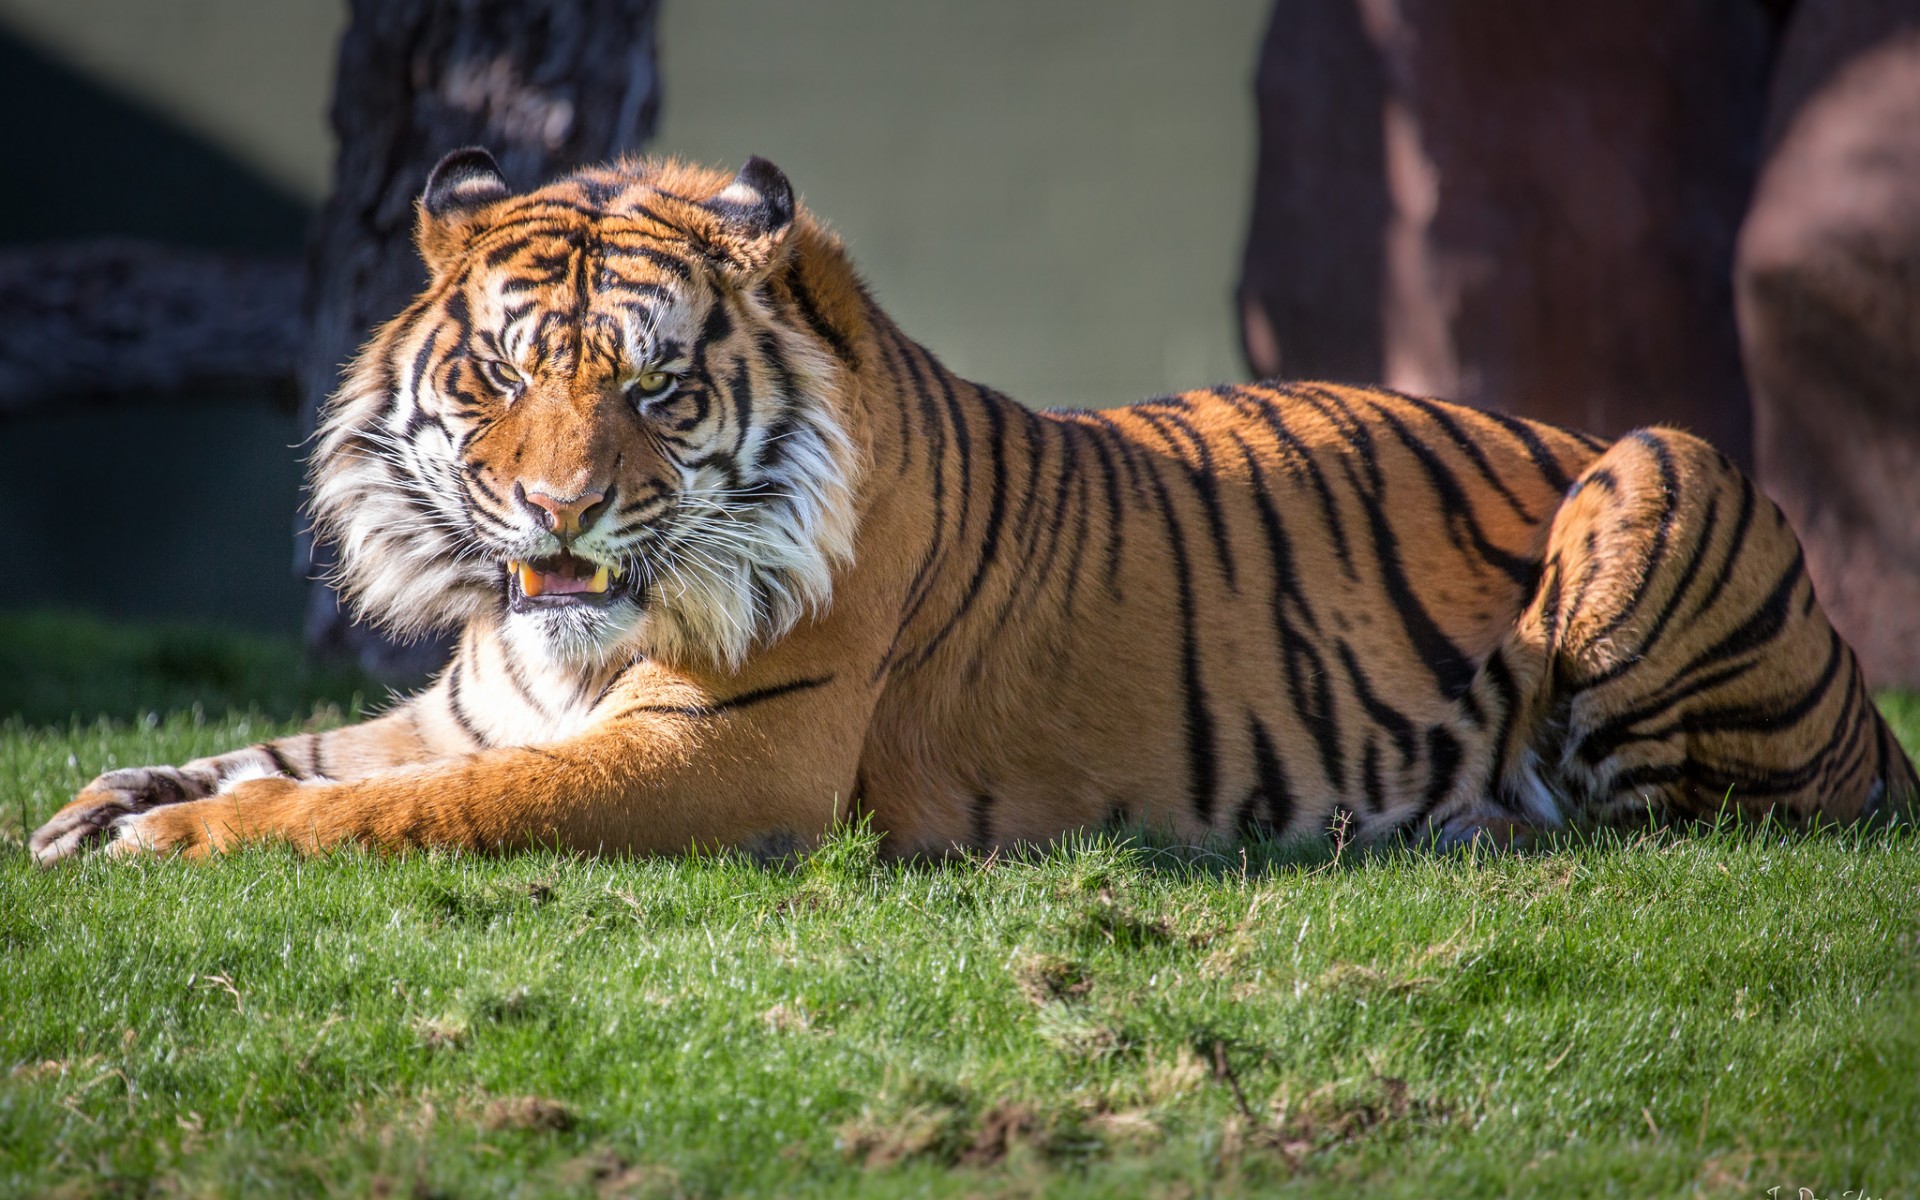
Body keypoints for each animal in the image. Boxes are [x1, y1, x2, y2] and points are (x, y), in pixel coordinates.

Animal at [26, 149, 1904, 860]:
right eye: (495, 379)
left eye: (654, 390)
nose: (555, 517)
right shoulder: (472, 700)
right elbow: (304, 751)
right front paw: (102, 800)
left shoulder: (728, 758)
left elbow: (411, 809)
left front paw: (171, 840)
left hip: (1660, 464)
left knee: (1679, 812)